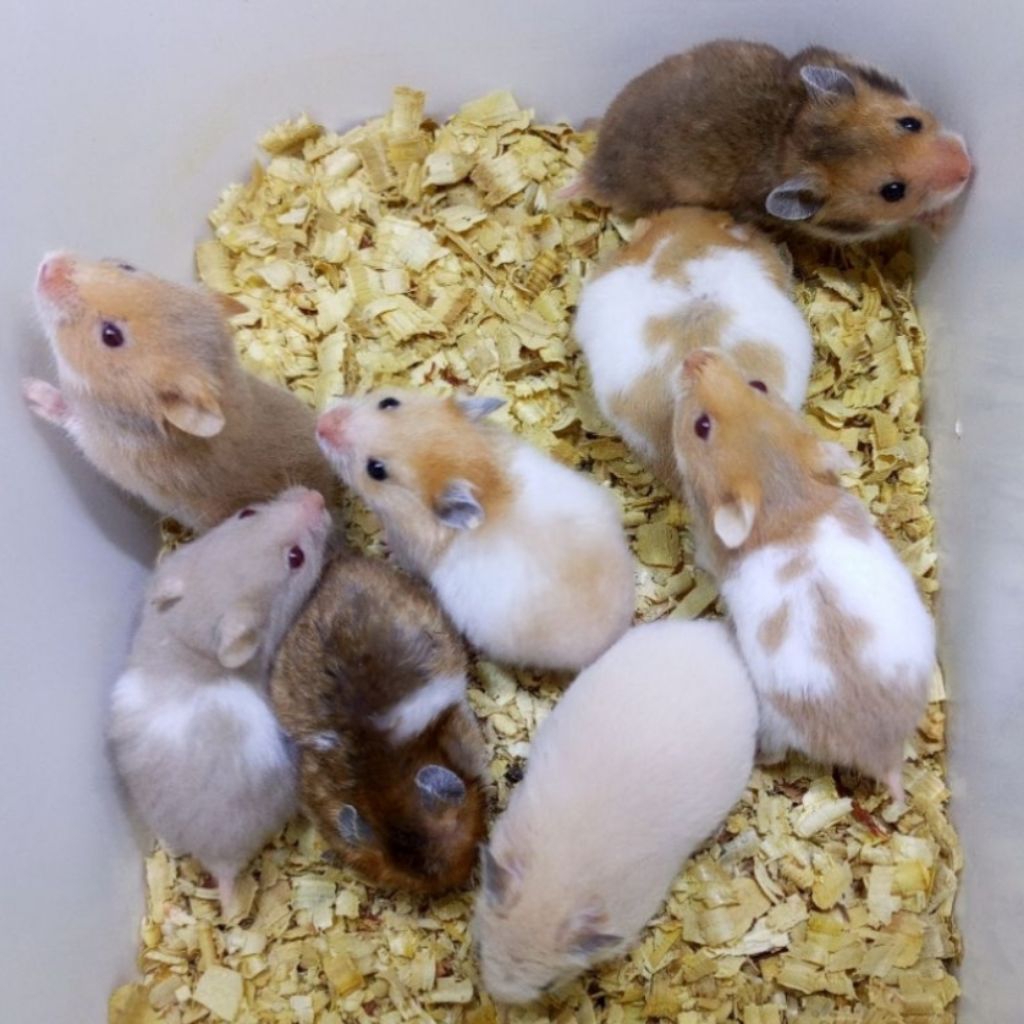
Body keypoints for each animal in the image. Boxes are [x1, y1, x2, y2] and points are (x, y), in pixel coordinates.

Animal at [23, 253, 336, 530]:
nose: (47, 265)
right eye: (127, 267)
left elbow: (65, 414)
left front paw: (27, 389)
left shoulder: (101, 446)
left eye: (111, 335)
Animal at [316, 390, 636, 673]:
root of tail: (615, 637)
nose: (321, 424)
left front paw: (382, 546)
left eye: (376, 470)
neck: (482, 476)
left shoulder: (408, 549)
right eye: (389, 402)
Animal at [567, 40, 972, 242]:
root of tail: (596, 169)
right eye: (892, 191)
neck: (790, 132)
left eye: (910, 123)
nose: (969, 166)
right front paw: (942, 222)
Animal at [674, 348, 935, 800]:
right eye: (759, 383)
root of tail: (881, 753)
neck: (785, 499)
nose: (695, 355)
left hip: (775, 722)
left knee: (775, 752)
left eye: (700, 426)